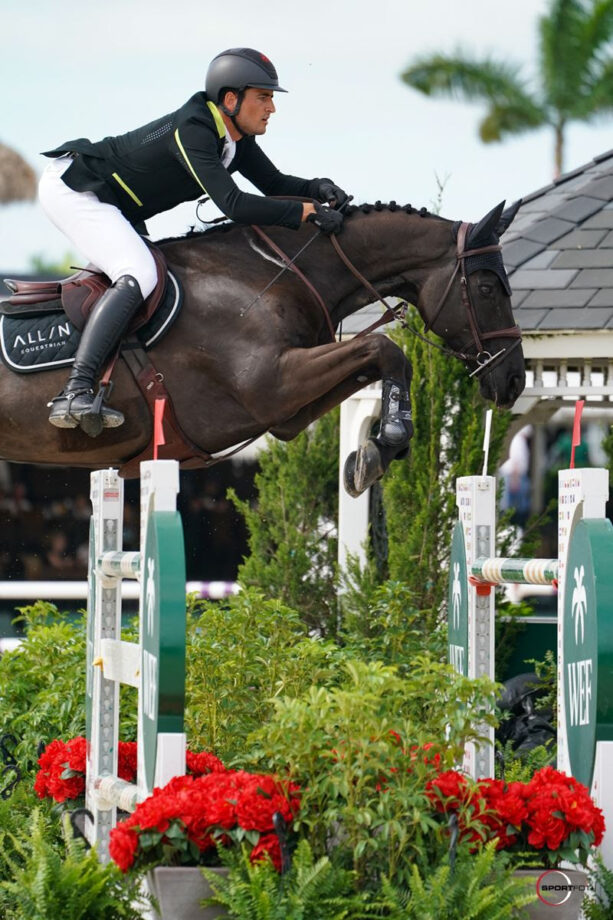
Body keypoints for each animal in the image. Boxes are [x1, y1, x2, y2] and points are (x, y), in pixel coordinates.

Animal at [1, 196, 524, 496]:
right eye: (486, 289)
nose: (514, 380)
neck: (273, 272)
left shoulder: (283, 411)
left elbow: (375, 360)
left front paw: (372, 454)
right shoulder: (272, 383)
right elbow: (384, 350)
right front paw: (388, 440)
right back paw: (77, 404)